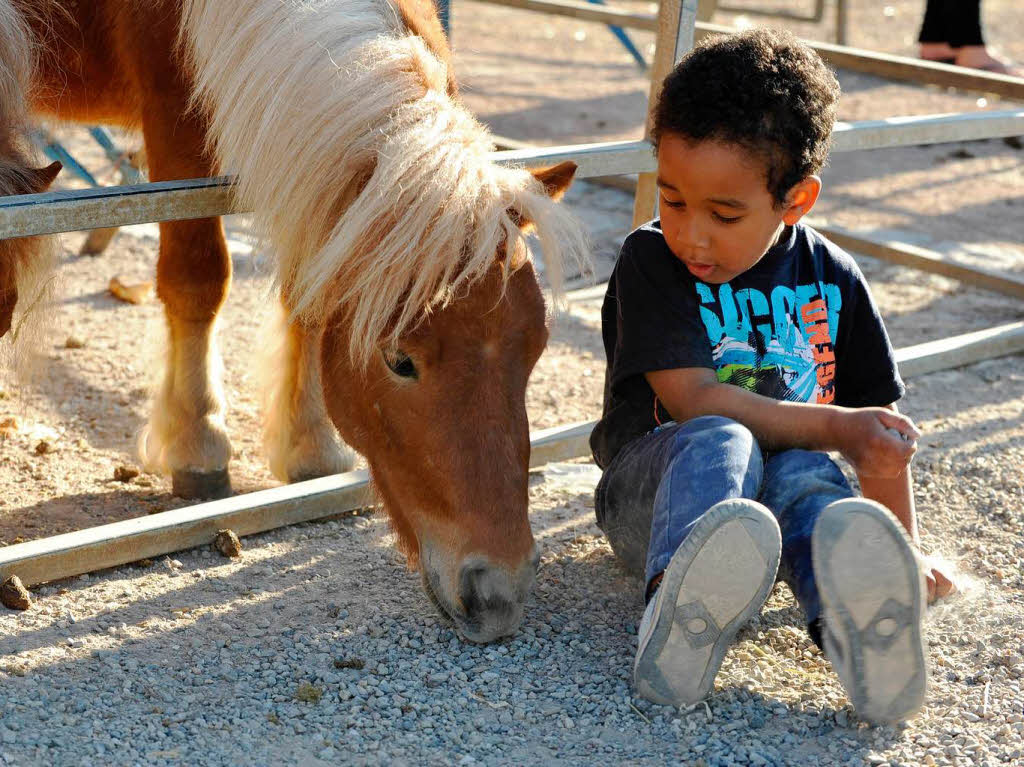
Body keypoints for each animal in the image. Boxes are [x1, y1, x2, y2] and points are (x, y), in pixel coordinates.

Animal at [0, 0, 589, 643]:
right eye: (400, 361)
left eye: (536, 348)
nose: (500, 593)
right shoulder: (175, 131)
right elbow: (198, 277)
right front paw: (200, 444)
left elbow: (305, 300)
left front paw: (309, 448)